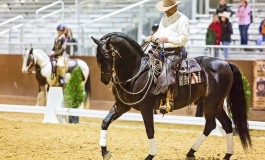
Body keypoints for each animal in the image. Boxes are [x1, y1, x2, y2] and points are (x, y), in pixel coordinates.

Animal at [91, 32, 252, 160]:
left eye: (107, 56)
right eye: (97, 57)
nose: (104, 79)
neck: (137, 70)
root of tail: (225, 63)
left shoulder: (146, 107)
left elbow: (149, 130)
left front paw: (150, 155)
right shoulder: (122, 105)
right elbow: (105, 121)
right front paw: (105, 152)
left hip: (212, 102)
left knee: (211, 124)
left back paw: (193, 152)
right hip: (215, 104)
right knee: (225, 124)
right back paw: (221, 154)